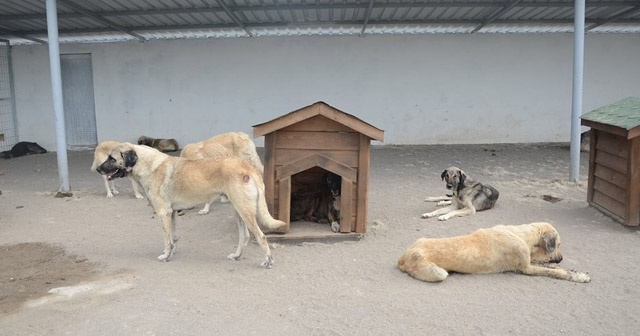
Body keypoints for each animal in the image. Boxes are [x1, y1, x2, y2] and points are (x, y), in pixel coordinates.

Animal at [96, 142, 286, 268]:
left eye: (112, 158)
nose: (98, 169)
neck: (149, 165)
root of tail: (248, 167)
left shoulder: (163, 213)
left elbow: (166, 239)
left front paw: (166, 256)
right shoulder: (171, 213)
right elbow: (173, 237)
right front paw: (172, 253)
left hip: (244, 211)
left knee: (261, 236)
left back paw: (268, 261)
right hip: (238, 211)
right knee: (244, 236)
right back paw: (237, 255)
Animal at [398, 223, 592, 284]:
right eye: (558, 245)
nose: (561, 258)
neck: (522, 234)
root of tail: (402, 257)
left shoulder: (530, 260)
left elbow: (551, 267)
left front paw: (576, 271)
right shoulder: (527, 268)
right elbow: (556, 272)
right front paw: (577, 276)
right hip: (437, 273)